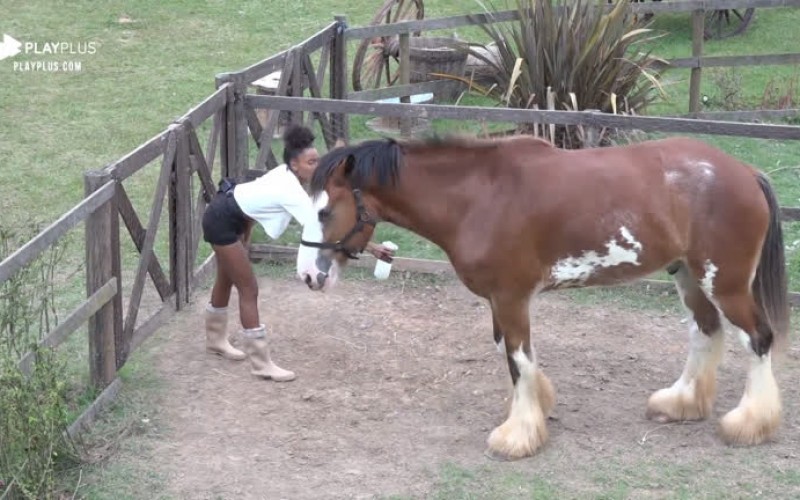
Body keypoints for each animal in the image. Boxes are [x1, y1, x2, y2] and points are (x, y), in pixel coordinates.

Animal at [295, 133, 789, 460]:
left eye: (325, 210)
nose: (307, 275)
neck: (479, 197)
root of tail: (746, 172)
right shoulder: (499, 301)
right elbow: (514, 358)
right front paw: (532, 408)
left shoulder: (512, 298)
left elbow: (518, 358)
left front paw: (518, 434)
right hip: (689, 276)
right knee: (705, 332)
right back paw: (681, 403)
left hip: (723, 282)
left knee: (758, 339)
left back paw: (750, 423)